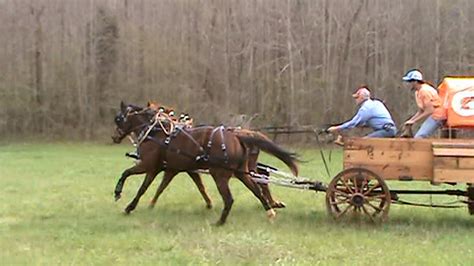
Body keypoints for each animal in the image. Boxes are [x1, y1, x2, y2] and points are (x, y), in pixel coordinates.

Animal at [112, 102, 296, 224]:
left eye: (119, 119)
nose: (114, 137)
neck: (157, 132)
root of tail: (238, 136)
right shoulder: (166, 169)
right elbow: (150, 188)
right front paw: (133, 207)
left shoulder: (148, 165)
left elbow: (127, 174)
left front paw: (118, 194)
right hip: (240, 172)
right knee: (257, 188)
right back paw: (270, 211)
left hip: (220, 174)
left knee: (230, 198)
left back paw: (220, 222)